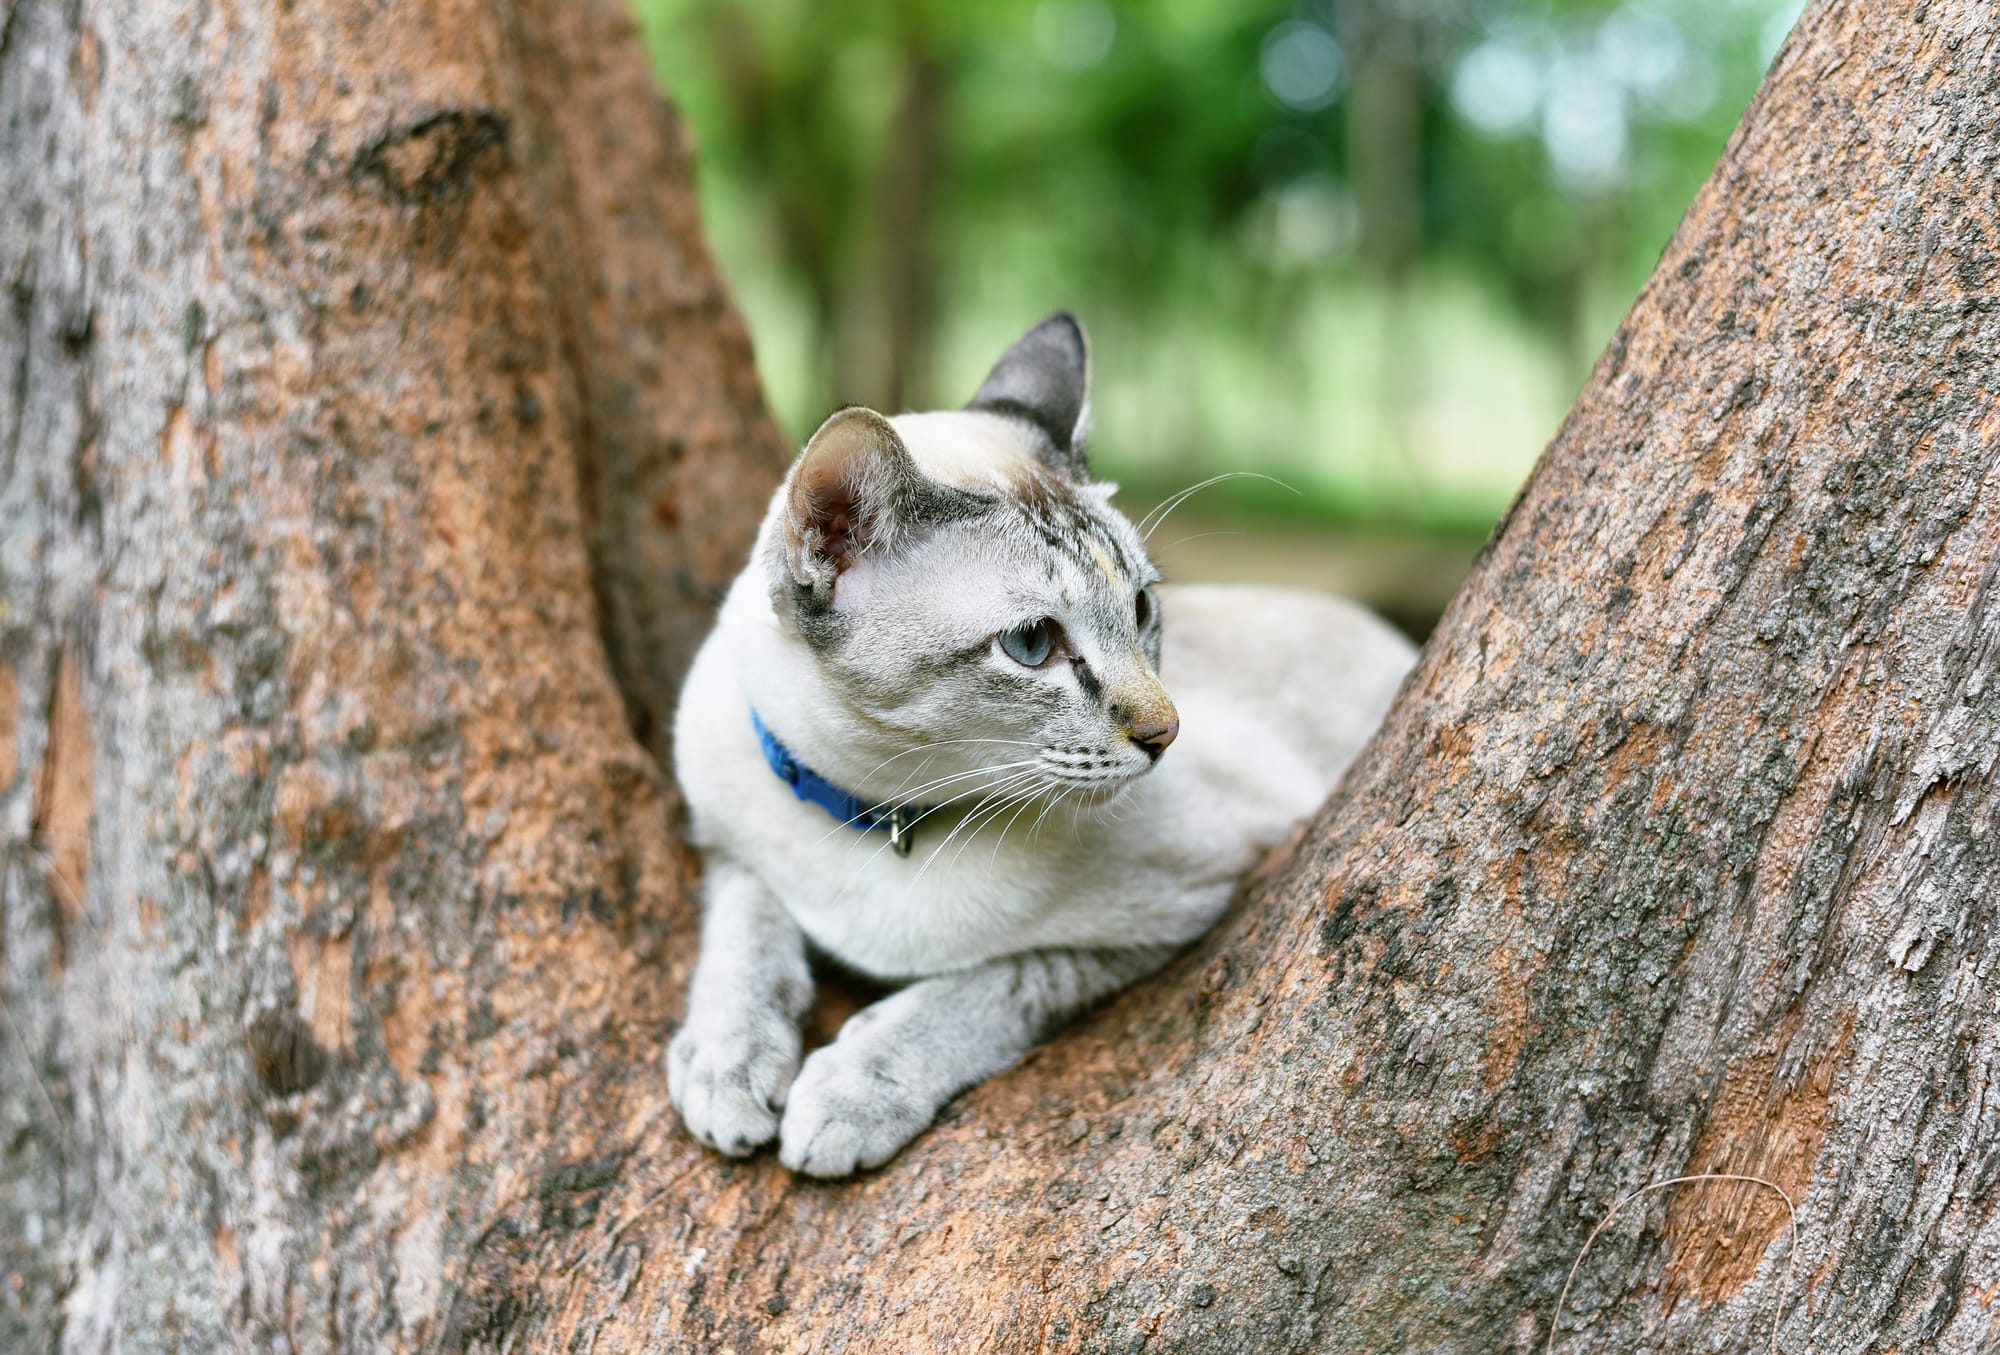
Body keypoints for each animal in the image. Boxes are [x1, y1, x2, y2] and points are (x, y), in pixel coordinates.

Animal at [664, 309, 1416, 1175]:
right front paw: (726, 1065)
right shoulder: (724, 840)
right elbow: (743, 928)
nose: (1166, 733)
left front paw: (848, 1093)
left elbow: (990, 983)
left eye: (1142, 607)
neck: (883, 814)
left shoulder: (1192, 901)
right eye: (1031, 644)